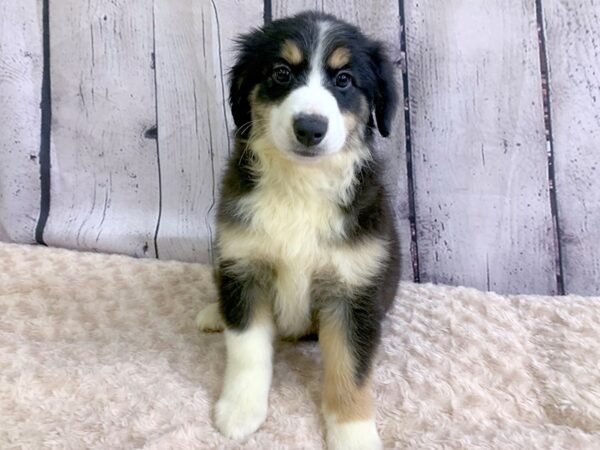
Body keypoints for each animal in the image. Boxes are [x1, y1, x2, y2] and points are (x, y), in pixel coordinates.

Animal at [197, 11, 400, 450]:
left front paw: (354, 434)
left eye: (344, 79)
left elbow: (350, 371)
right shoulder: (245, 266)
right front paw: (240, 411)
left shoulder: (353, 291)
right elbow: (247, 351)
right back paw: (214, 312)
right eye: (281, 73)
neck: (301, 184)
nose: (309, 128)